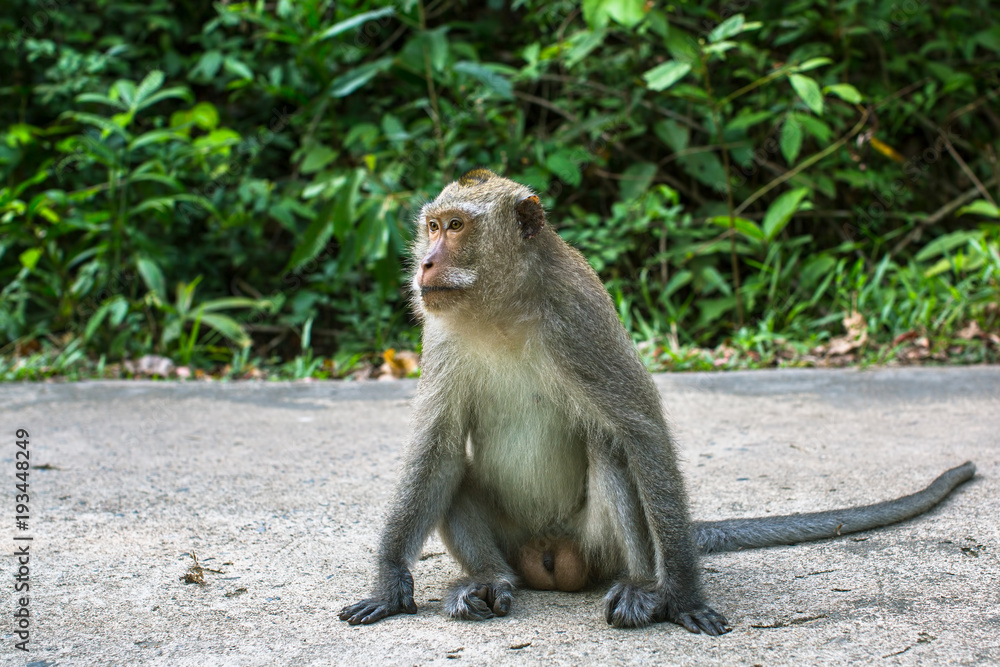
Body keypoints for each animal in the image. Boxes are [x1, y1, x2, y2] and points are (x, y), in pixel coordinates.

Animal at [338, 168, 976, 635]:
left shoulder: (580, 318)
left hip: (594, 546)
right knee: (458, 475)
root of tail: (548, 557)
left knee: (613, 452)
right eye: (431, 226)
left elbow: (642, 433)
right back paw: (490, 580)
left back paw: (646, 588)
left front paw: (684, 595)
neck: (502, 311)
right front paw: (389, 584)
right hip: (517, 541)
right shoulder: (441, 335)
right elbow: (438, 446)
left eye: (456, 227)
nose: (425, 262)